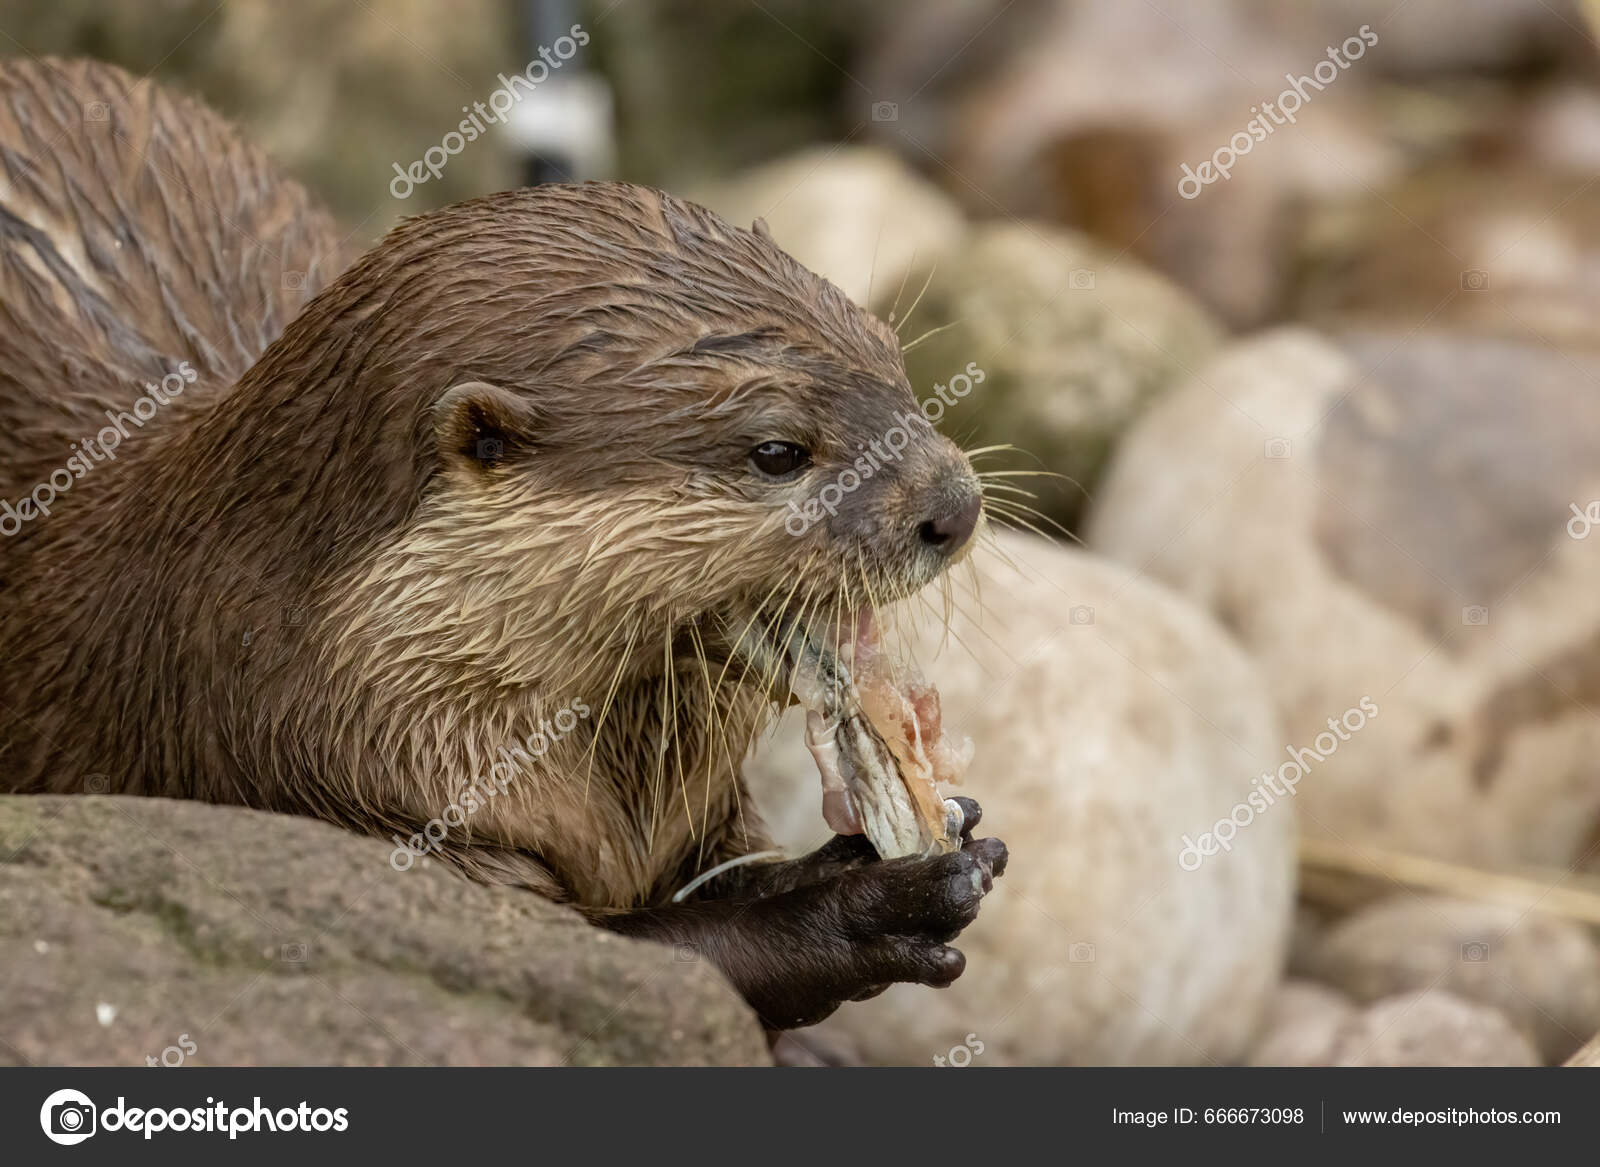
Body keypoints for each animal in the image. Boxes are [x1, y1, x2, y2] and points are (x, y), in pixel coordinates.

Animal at [0, 58, 1006, 1031]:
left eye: (892, 355)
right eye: (777, 450)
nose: (954, 506)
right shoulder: (327, 773)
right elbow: (630, 958)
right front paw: (862, 905)